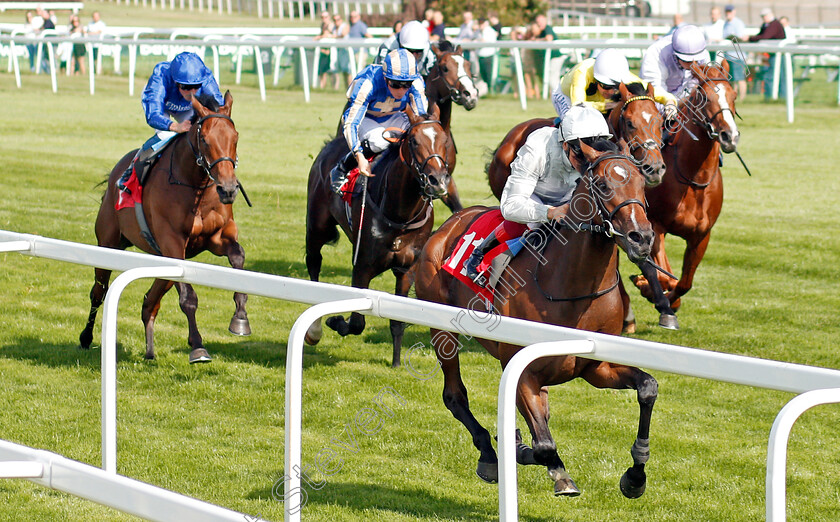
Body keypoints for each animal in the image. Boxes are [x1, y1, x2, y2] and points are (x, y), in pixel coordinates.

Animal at [77, 92, 249, 362]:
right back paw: (86, 337)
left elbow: (238, 256)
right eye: (205, 139)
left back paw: (149, 348)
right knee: (99, 291)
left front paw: (240, 317)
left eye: (235, 137)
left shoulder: (216, 238)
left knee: (150, 301)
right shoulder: (173, 243)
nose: (228, 189)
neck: (195, 186)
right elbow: (188, 298)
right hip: (108, 243)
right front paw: (198, 346)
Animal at [304, 104, 450, 366]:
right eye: (414, 141)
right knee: (313, 265)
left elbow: (397, 321)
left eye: (444, 140)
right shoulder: (362, 265)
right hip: (316, 228)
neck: (400, 215)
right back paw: (314, 330)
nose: (438, 182)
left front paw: (396, 362)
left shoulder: (407, 270)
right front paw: (336, 320)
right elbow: (357, 322)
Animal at [416, 139, 660, 496]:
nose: (641, 238)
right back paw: (489, 455)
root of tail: (450, 223)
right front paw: (523, 450)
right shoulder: (522, 369)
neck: (572, 288)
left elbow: (647, 387)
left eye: (642, 183)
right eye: (602, 185)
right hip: (441, 330)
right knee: (454, 395)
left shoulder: (596, 367)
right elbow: (543, 445)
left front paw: (636, 476)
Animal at [624, 59, 740, 328]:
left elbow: (685, 282)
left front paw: (669, 303)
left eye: (734, 96)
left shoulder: (701, 236)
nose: (730, 136)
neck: (693, 180)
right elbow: (664, 274)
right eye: (705, 98)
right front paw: (649, 289)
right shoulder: (655, 227)